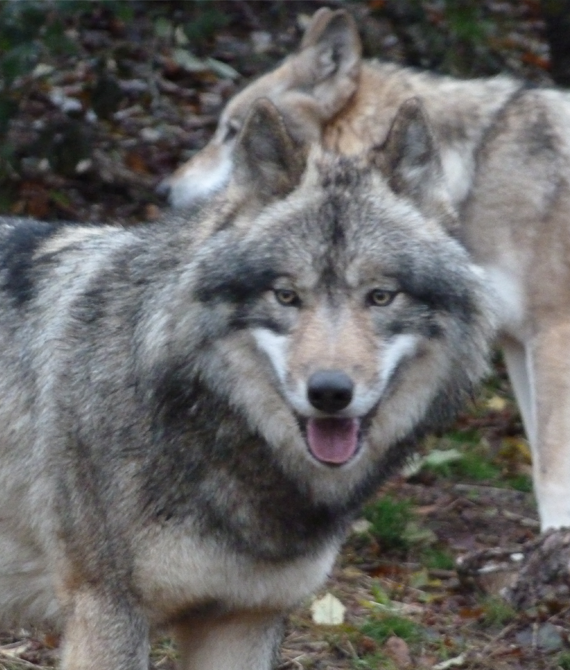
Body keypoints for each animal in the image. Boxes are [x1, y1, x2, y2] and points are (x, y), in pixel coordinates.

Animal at [162, 7, 570, 532]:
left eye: (231, 132)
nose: (164, 189)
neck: (479, 172)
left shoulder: (552, 334)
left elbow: (550, 469)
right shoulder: (519, 344)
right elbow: (541, 456)